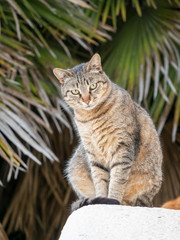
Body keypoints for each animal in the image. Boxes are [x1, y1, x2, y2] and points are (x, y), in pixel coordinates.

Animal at [52, 53, 162, 209]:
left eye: (92, 86)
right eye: (75, 91)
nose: (86, 100)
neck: (92, 118)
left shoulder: (123, 147)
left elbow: (117, 179)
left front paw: (112, 200)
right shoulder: (92, 152)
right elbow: (99, 179)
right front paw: (101, 199)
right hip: (74, 166)